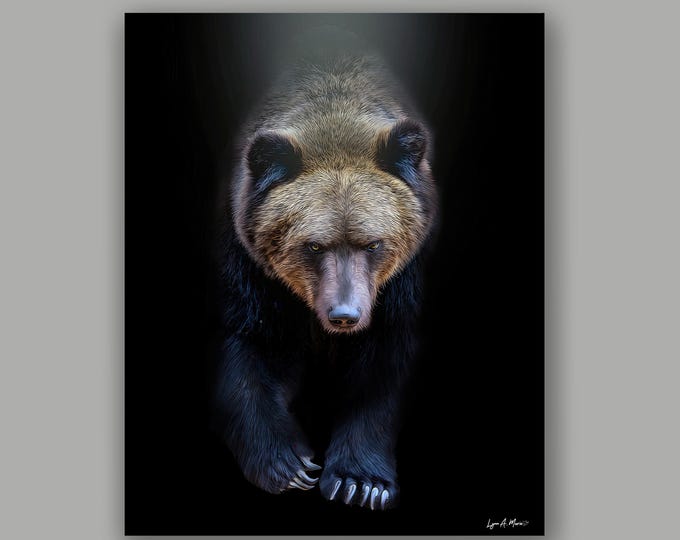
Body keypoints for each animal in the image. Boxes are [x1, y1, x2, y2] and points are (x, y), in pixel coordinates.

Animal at [212, 31, 438, 511]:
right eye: (313, 245)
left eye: (373, 243)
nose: (344, 315)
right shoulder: (255, 274)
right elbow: (252, 351)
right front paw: (289, 465)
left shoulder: (398, 287)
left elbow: (382, 365)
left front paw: (360, 482)